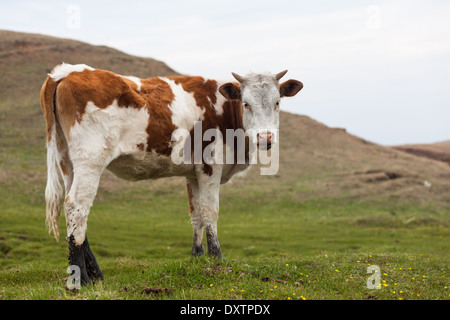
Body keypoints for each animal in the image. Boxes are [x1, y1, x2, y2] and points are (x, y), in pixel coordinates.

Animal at [39, 63, 302, 284]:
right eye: (246, 103)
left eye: (277, 102)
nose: (265, 138)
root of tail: (67, 72)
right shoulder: (211, 166)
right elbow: (211, 212)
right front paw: (218, 258)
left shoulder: (193, 173)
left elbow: (196, 215)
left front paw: (197, 257)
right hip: (90, 160)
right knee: (77, 206)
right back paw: (81, 278)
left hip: (68, 161)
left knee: (75, 210)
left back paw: (95, 274)